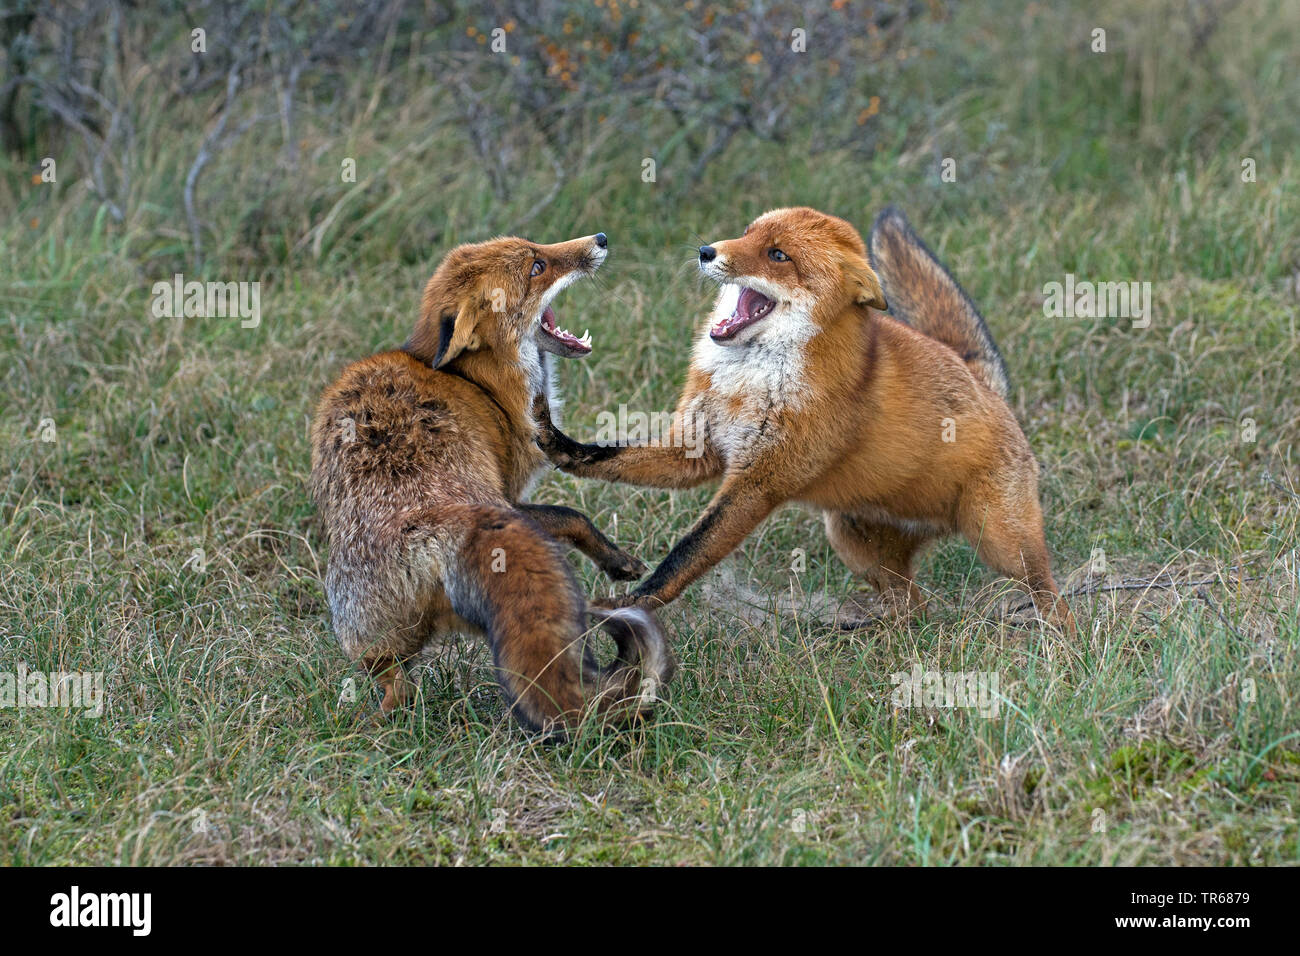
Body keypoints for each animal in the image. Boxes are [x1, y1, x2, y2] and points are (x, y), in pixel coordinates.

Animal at [309, 231, 674, 733]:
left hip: (373, 640)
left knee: (395, 689)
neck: (481, 385)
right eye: (537, 266)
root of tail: (432, 518)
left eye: (537, 246)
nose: (600, 239)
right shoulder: (513, 495)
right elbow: (573, 516)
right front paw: (618, 563)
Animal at [535, 206, 1074, 635]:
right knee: (914, 608)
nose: (707, 250)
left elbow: (686, 553)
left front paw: (629, 605)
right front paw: (558, 443)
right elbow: (606, 457)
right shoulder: (696, 451)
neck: (748, 380)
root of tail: (983, 382)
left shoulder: (759, 483)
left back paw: (1063, 649)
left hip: (999, 539)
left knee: (1051, 594)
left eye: (778, 256)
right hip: (854, 543)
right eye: (747, 234)